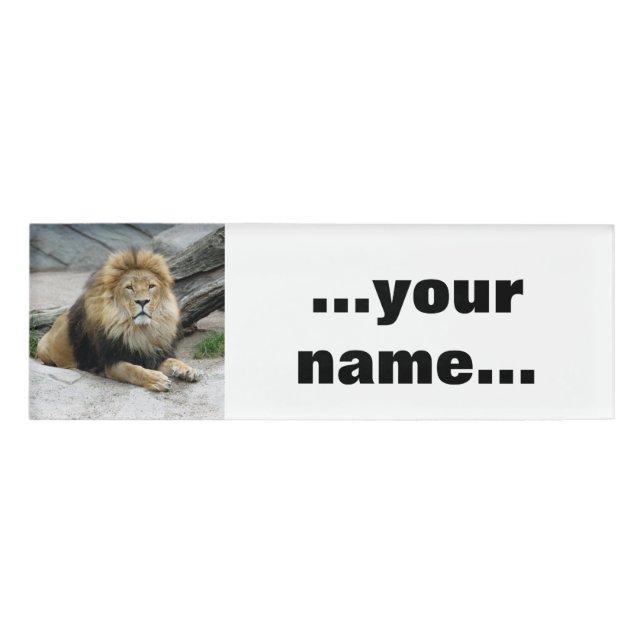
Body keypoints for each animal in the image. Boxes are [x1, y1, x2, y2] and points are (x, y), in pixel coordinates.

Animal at [36, 248, 200, 392]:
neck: (141, 330)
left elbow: (173, 360)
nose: (142, 301)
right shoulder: (110, 363)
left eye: (151, 286)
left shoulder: (152, 355)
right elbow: (134, 370)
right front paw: (157, 379)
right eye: (130, 287)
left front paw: (188, 370)